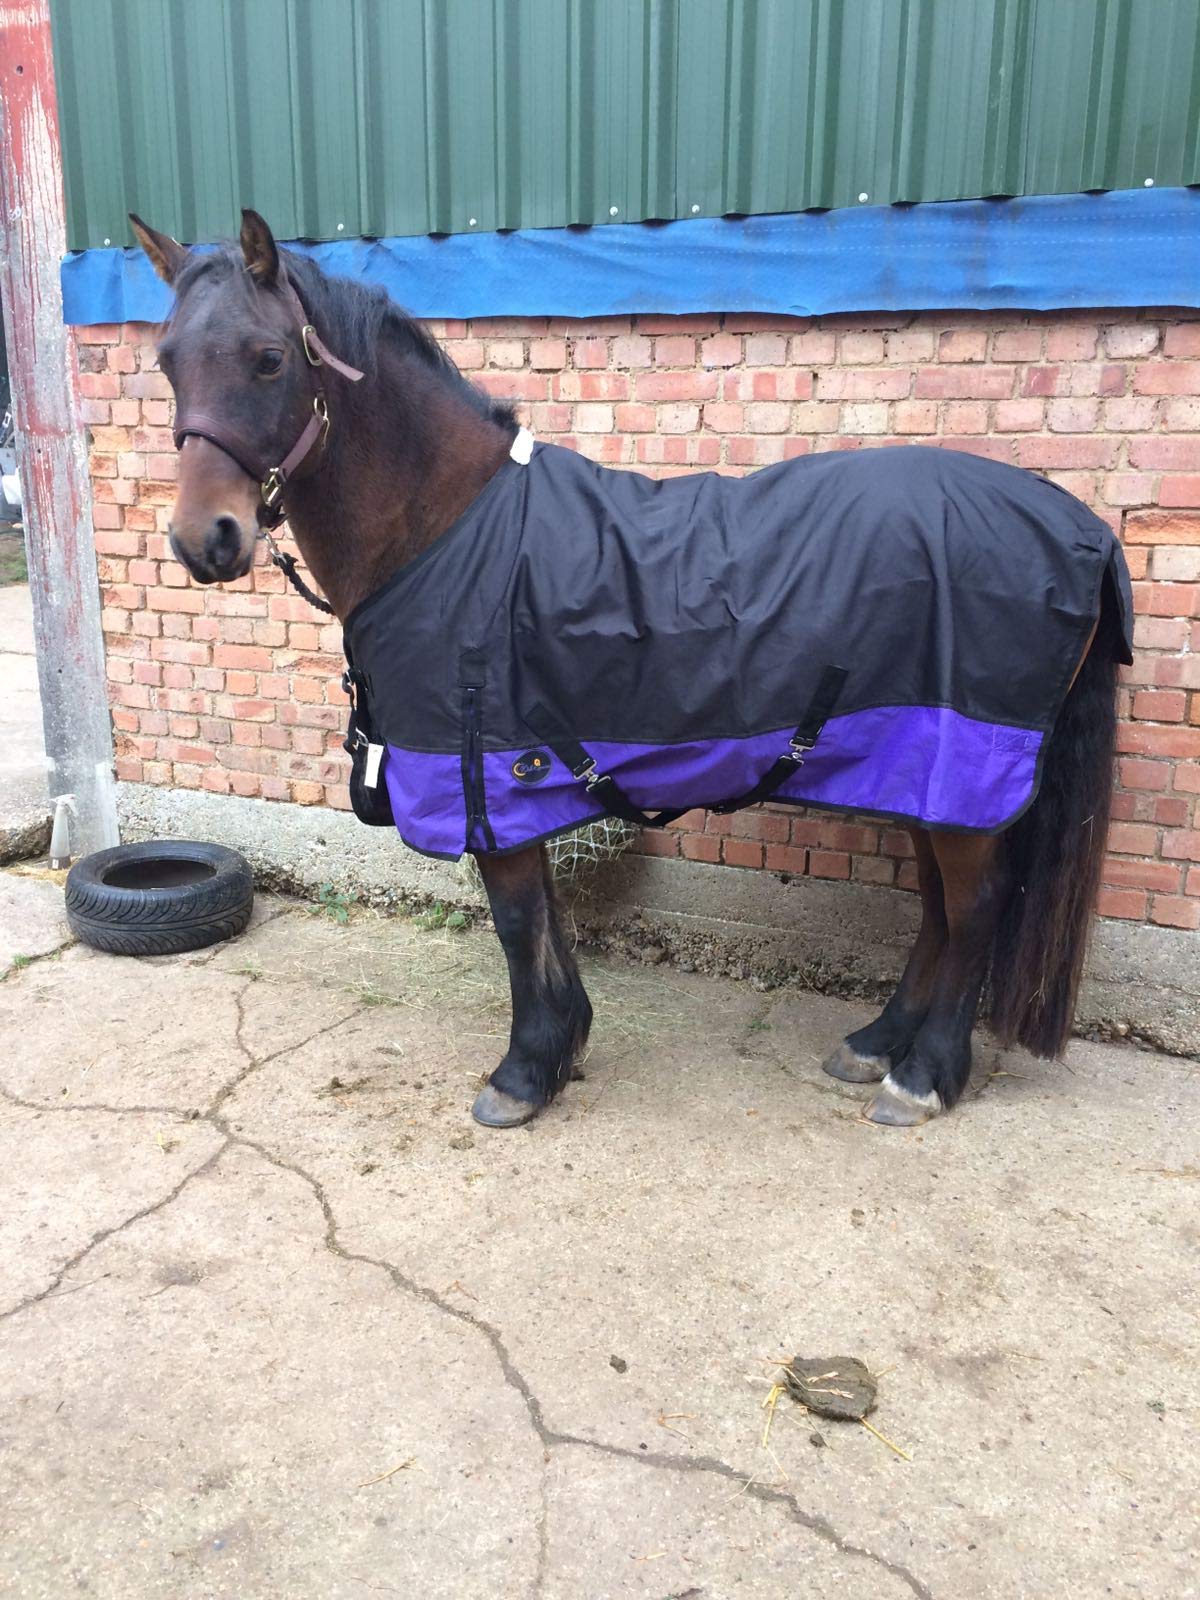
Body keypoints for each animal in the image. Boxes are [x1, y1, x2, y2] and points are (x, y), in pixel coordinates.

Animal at [130, 210, 1130, 1131]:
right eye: (169, 363)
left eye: (268, 359)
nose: (203, 540)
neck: (450, 532)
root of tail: (1081, 527)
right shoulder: (520, 781)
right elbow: (542, 919)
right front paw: (561, 1047)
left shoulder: (488, 772)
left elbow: (517, 919)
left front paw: (523, 1073)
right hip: (922, 774)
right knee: (938, 910)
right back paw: (877, 1045)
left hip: (962, 772)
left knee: (978, 907)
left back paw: (923, 1078)